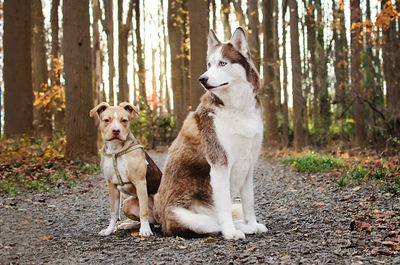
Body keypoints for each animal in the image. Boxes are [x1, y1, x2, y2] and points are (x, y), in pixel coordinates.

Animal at [90, 102, 162, 236]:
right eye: (106, 120)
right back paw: (128, 225)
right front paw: (109, 230)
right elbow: (113, 212)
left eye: (124, 120)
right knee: (150, 222)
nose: (116, 130)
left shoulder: (140, 182)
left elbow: (143, 210)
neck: (116, 150)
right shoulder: (111, 185)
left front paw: (145, 231)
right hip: (127, 203)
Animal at [155, 27, 268, 239]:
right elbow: (224, 207)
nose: (202, 78)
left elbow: (249, 203)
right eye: (209, 64)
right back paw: (236, 228)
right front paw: (231, 232)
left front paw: (252, 223)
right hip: (186, 217)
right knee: (215, 223)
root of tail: (162, 223)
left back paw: (246, 226)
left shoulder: (249, 165)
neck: (237, 109)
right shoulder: (220, 163)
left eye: (222, 63)